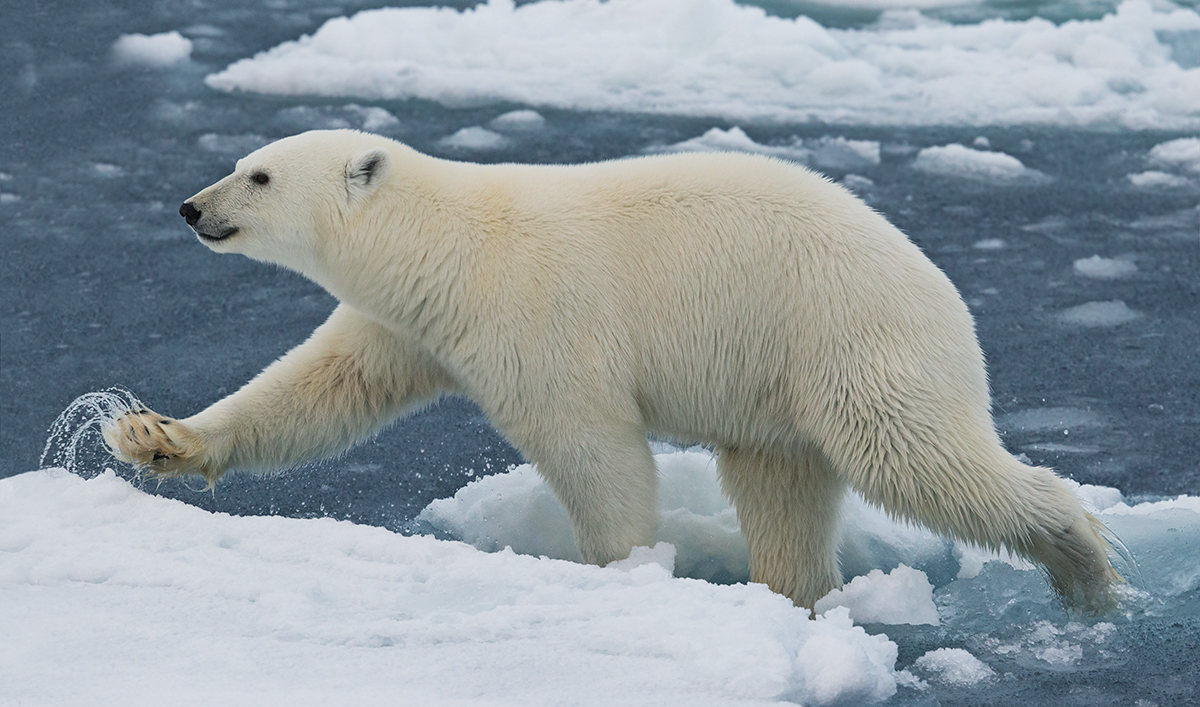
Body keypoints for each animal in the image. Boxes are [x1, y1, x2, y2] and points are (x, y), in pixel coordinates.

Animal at [105, 129, 1119, 612]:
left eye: (260, 175)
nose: (191, 206)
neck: (452, 245)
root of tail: (945, 292)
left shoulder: (536, 314)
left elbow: (593, 447)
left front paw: (622, 572)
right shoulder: (410, 324)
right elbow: (319, 390)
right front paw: (151, 436)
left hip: (845, 337)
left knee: (915, 457)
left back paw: (1084, 566)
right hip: (776, 390)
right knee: (784, 491)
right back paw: (793, 593)